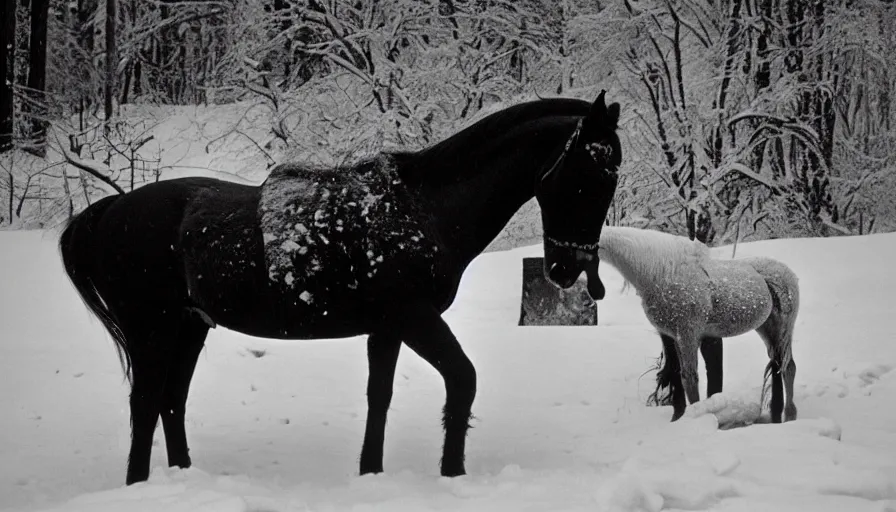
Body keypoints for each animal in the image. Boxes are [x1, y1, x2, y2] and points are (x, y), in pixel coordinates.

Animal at [59, 91, 624, 484]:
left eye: (612, 176)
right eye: (589, 174)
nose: (569, 270)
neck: (423, 209)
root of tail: (112, 209)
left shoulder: (389, 328)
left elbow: (380, 397)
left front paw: (371, 474)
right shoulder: (416, 319)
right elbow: (462, 381)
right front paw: (452, 474)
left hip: (188, 328)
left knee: (171, 400)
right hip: (150, 330)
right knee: (145, 403)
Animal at [600, 226, 800, 422]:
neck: (662, 273)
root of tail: (787, 272)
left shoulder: (688, 335)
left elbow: (689, 377)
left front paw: (693, 415)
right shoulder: (672, 336)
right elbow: (676, 374)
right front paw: (677, 417)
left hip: (784, 330)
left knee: (789, 367)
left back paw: (790, 415)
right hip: (766, 329)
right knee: (777, 364)